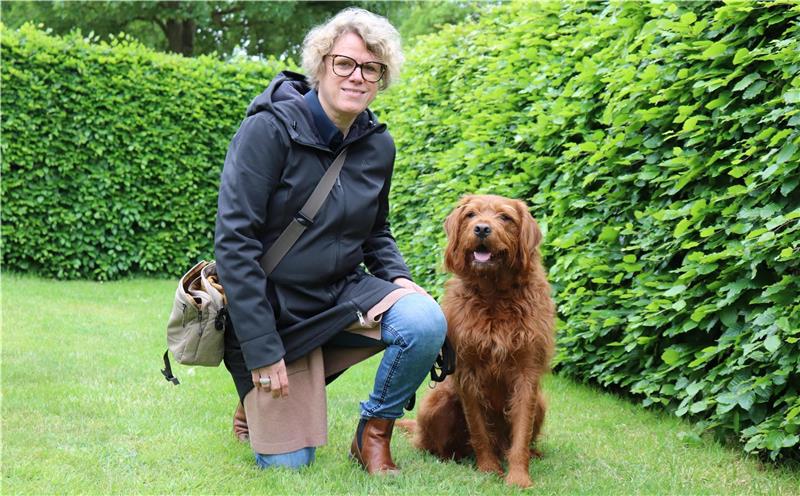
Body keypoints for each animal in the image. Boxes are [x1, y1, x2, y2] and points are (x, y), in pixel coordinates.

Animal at [400, 195, 556, 488]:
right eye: (470, 215)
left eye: (505, 217)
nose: (482, 229)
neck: (494, 294)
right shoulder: (467, 372)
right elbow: (479, 429)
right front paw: (488, 469)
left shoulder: (526, 372)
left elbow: (521, 432)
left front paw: (518, 477)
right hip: (437, 402)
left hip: (541, 402)